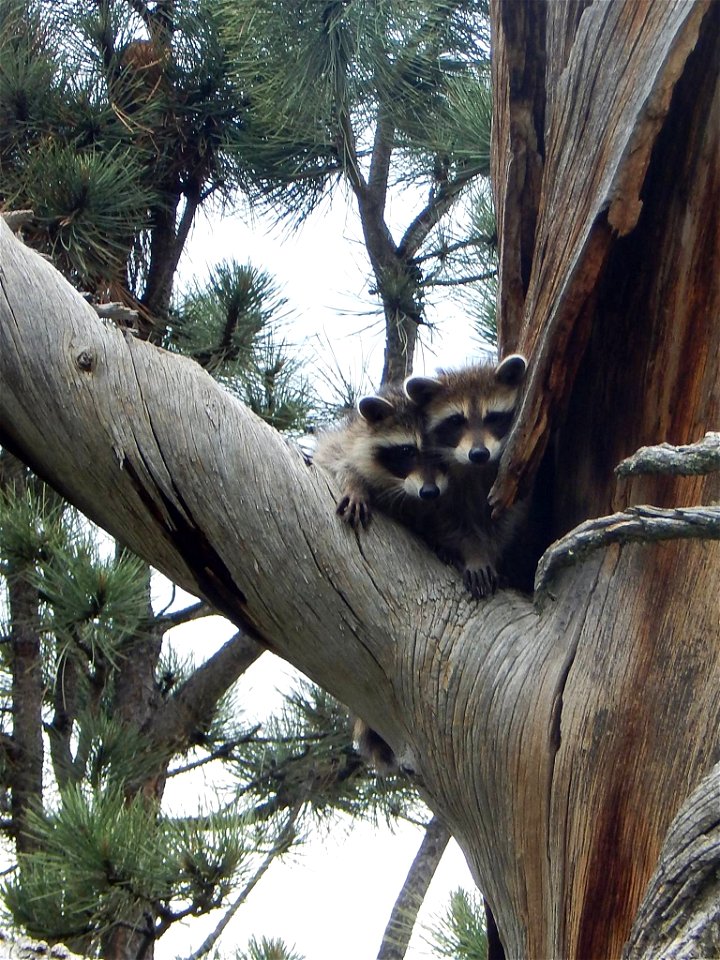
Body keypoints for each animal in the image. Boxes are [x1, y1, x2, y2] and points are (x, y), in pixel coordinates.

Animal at [404, 352, 528, 600]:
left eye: (492, 418)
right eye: (456, 421)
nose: (479, 453)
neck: (476, 468)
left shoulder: (508, 482)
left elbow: (505, 520)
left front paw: (491, 554)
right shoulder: (441, 484)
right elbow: (450, 522)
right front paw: (474, 554)